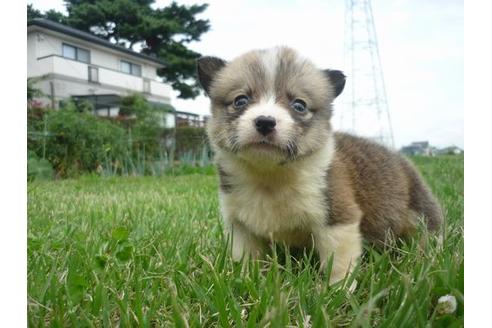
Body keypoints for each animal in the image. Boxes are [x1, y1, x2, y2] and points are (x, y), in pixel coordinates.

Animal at [195, 46, 442, 284]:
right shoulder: (240, 227)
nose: (265, 122)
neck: (270, 176)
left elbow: (339, 265)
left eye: (299, 105)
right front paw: (246, 281)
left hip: (420, 215)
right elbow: (246, 260)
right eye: (240, 101)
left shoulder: (337, 220)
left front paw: (338, 291)